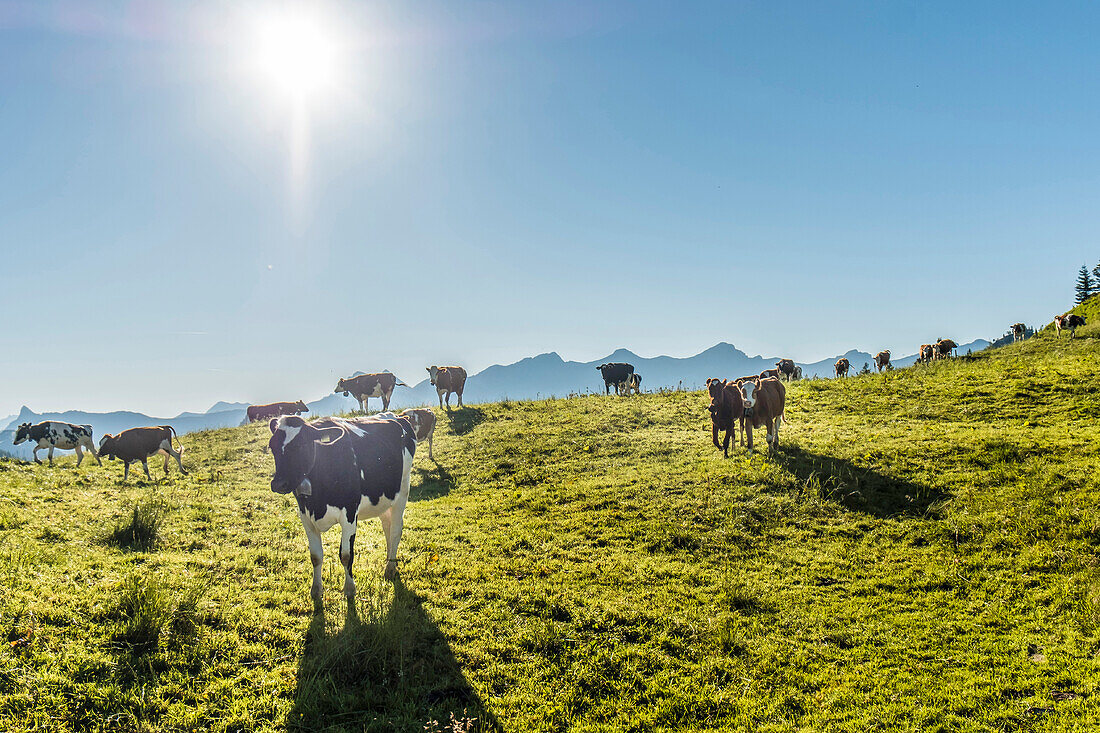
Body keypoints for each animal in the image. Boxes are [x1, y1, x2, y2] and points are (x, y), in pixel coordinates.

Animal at [267, 413, 415, 607]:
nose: (279, 483)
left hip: (403, 490)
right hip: (384, 498)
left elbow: (346, 555)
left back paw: (390, 568)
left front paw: (350, 590)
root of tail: (397, 416)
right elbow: (315, 556)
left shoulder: (349, 513)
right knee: (387, 528)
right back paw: (390, 561)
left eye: (301, 444)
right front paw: (316, 591)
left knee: (396, 530)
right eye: (272, 446)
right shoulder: (305, 516)